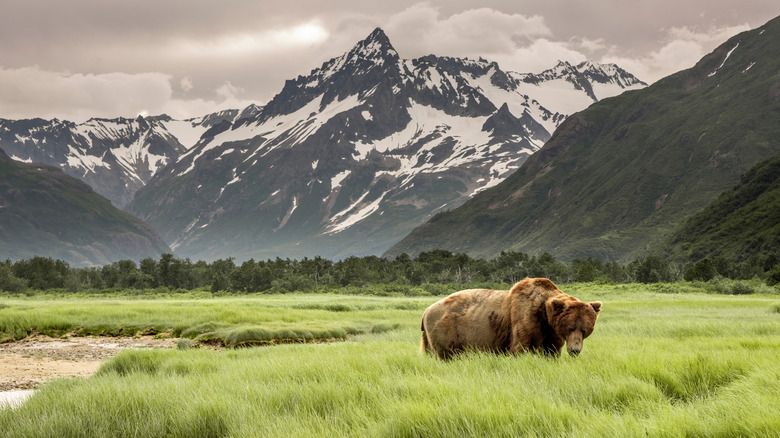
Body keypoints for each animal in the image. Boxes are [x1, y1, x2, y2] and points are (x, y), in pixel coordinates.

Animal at [424, 278, 600, 360]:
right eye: (570, 327)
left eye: (585, 330)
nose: (575, 350)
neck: (544, 315)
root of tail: (426, 311)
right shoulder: (525, 317)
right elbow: (520, 347)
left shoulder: (551, 331)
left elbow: (551, 350)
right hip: (447, 329)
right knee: (446, 354)